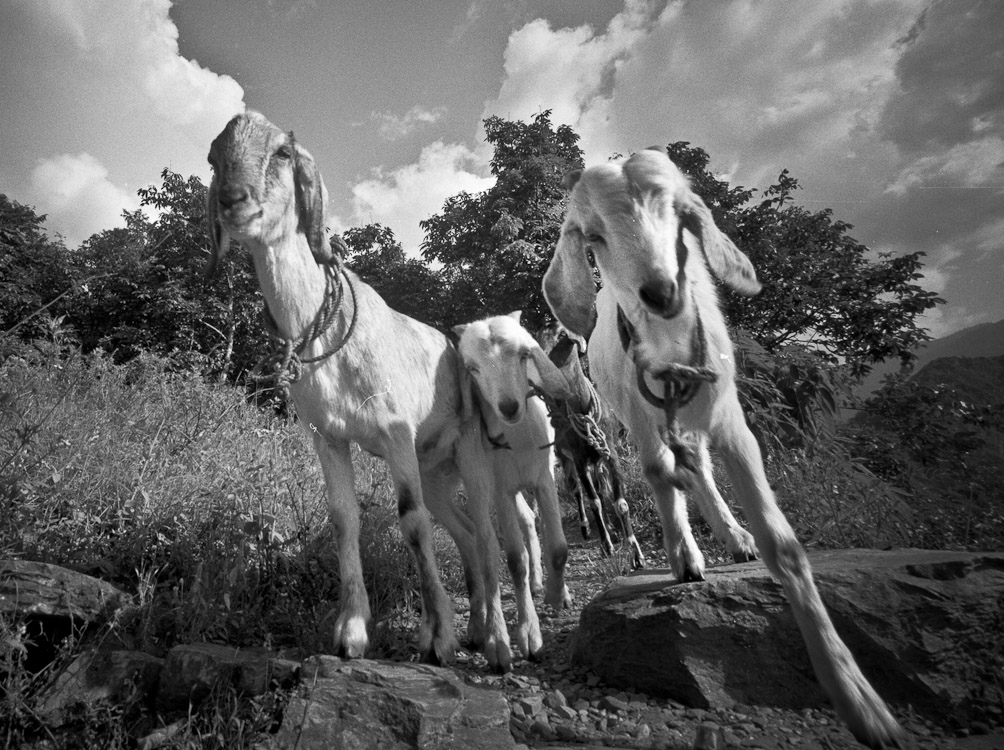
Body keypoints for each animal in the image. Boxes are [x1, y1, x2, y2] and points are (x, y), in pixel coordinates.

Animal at [205, 111, 516, 672]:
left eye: (282, 152)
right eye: (214, 158)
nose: (234, 199)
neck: (323, 331)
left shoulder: (394, 432)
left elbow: (411, 522)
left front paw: (439, 640)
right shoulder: (327, 434)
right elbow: (344, 521)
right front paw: (351, 632)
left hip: (470, 448)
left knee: (484, 531)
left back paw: (500, 643)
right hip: (436, 469)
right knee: (460, 528)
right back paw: (478, 626)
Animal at [453, 312, 573, 660]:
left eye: (524, 355)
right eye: (473, 369)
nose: (508, 407)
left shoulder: (544, 477)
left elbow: (559, 547)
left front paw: (557, 595)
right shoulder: (501, 489)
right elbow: (515, 561)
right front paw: (529, 633)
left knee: (531, 521)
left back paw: (543, 584)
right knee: (512, 530)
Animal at [537, 326, 646, 568]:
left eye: (561, 335)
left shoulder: (610, 453)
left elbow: (619, 502)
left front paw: (636, 554)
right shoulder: (578, 458)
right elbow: (593, 500)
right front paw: (606, 546)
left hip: (596, 459)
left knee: (600, 488)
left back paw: (611, 529)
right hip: (566, 458)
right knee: (577, 490)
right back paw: (587, 528)